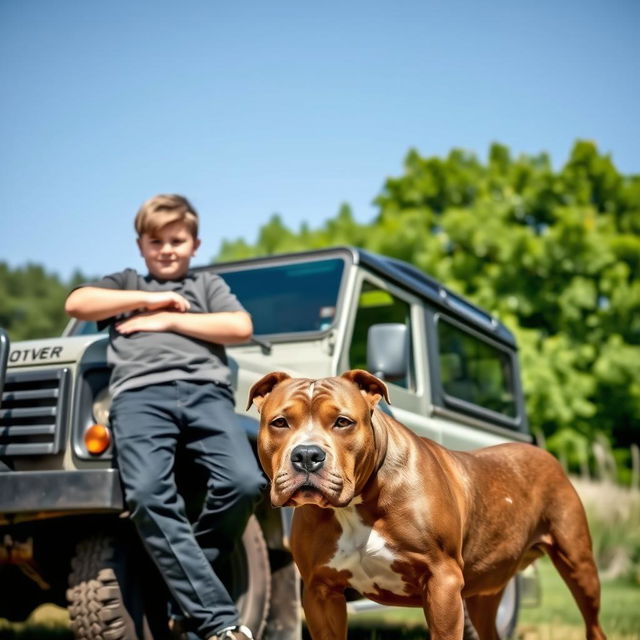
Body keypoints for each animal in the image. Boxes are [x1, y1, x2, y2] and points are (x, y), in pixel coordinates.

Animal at [248, 370, 608, 640]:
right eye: (279, 422)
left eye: (342, 422)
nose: (307, 455)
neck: (356, 504)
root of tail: (543, 454)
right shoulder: (321, 592)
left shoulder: (442, 581)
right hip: (484, 592)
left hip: (578, 564)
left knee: (593, 622)